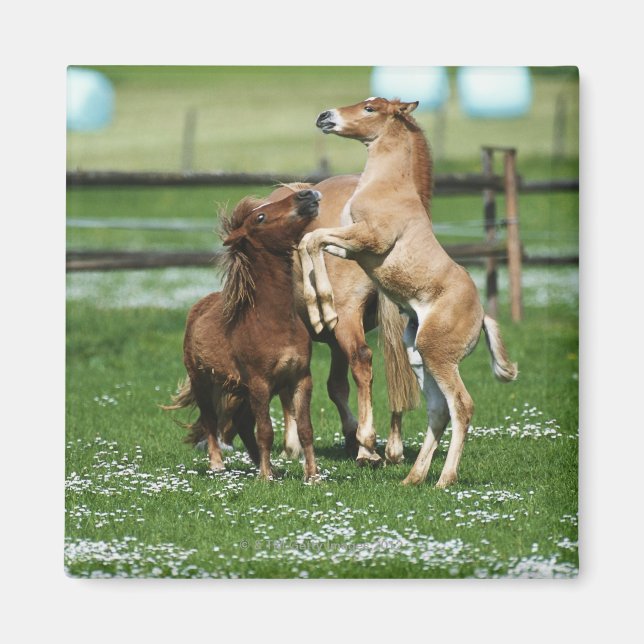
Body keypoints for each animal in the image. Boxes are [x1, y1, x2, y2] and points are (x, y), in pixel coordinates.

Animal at [164, 189, 322, 481]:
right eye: (260, 217)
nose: (307, 195)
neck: (275, 323)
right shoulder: (260, 383)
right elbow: (266, 431)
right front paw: (265, 478)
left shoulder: (300, 379)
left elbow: (305, 430)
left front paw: (312, 477)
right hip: (204, 382)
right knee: (211, 420)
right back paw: (218, 464)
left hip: (243, 391)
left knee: (242, 423)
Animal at [299, 97, 518, 487]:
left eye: (370, 108)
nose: (325, 116)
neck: (388, 186)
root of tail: (482, 316)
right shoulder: (352, 246)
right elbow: (311, 241)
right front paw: (317, 307)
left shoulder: (369, 239)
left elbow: (315, 239)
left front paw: (324, 307)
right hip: (417, 355)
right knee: (438, 411)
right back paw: (413, 478)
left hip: (438, 355)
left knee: (461, 406)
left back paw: (444, 479)